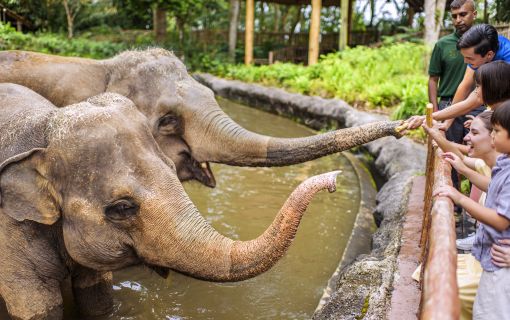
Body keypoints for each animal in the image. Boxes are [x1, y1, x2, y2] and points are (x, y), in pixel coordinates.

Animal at [0, 83, 342, 320]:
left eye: (171, 166)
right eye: (121, 208)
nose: (334, 180)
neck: (44, 130)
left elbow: (97, 298)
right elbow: (38, 306)